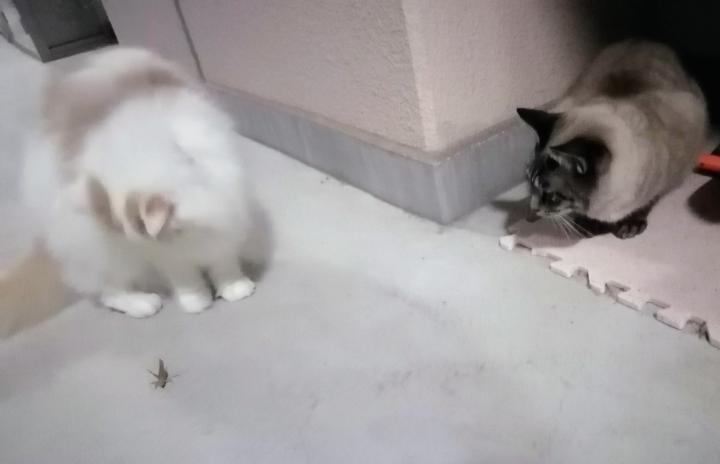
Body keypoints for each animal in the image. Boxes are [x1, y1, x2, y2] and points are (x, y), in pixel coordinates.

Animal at [20, 47, 256, 318]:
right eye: (138, 235)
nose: (141, 243)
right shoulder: (167, 256)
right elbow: (186, 279)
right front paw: (197, 302)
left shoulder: (227, 220)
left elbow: (224, 264)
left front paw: (235, 289)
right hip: (107, 255)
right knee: (111, 292)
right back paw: (145, 304)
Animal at [516, 40, 709, 239]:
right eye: (530, 183)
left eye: (552, 196)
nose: (533, 210)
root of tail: (647, 40)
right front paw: (588, 225)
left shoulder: (668, 174)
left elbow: (647, 201)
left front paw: (630, 224)